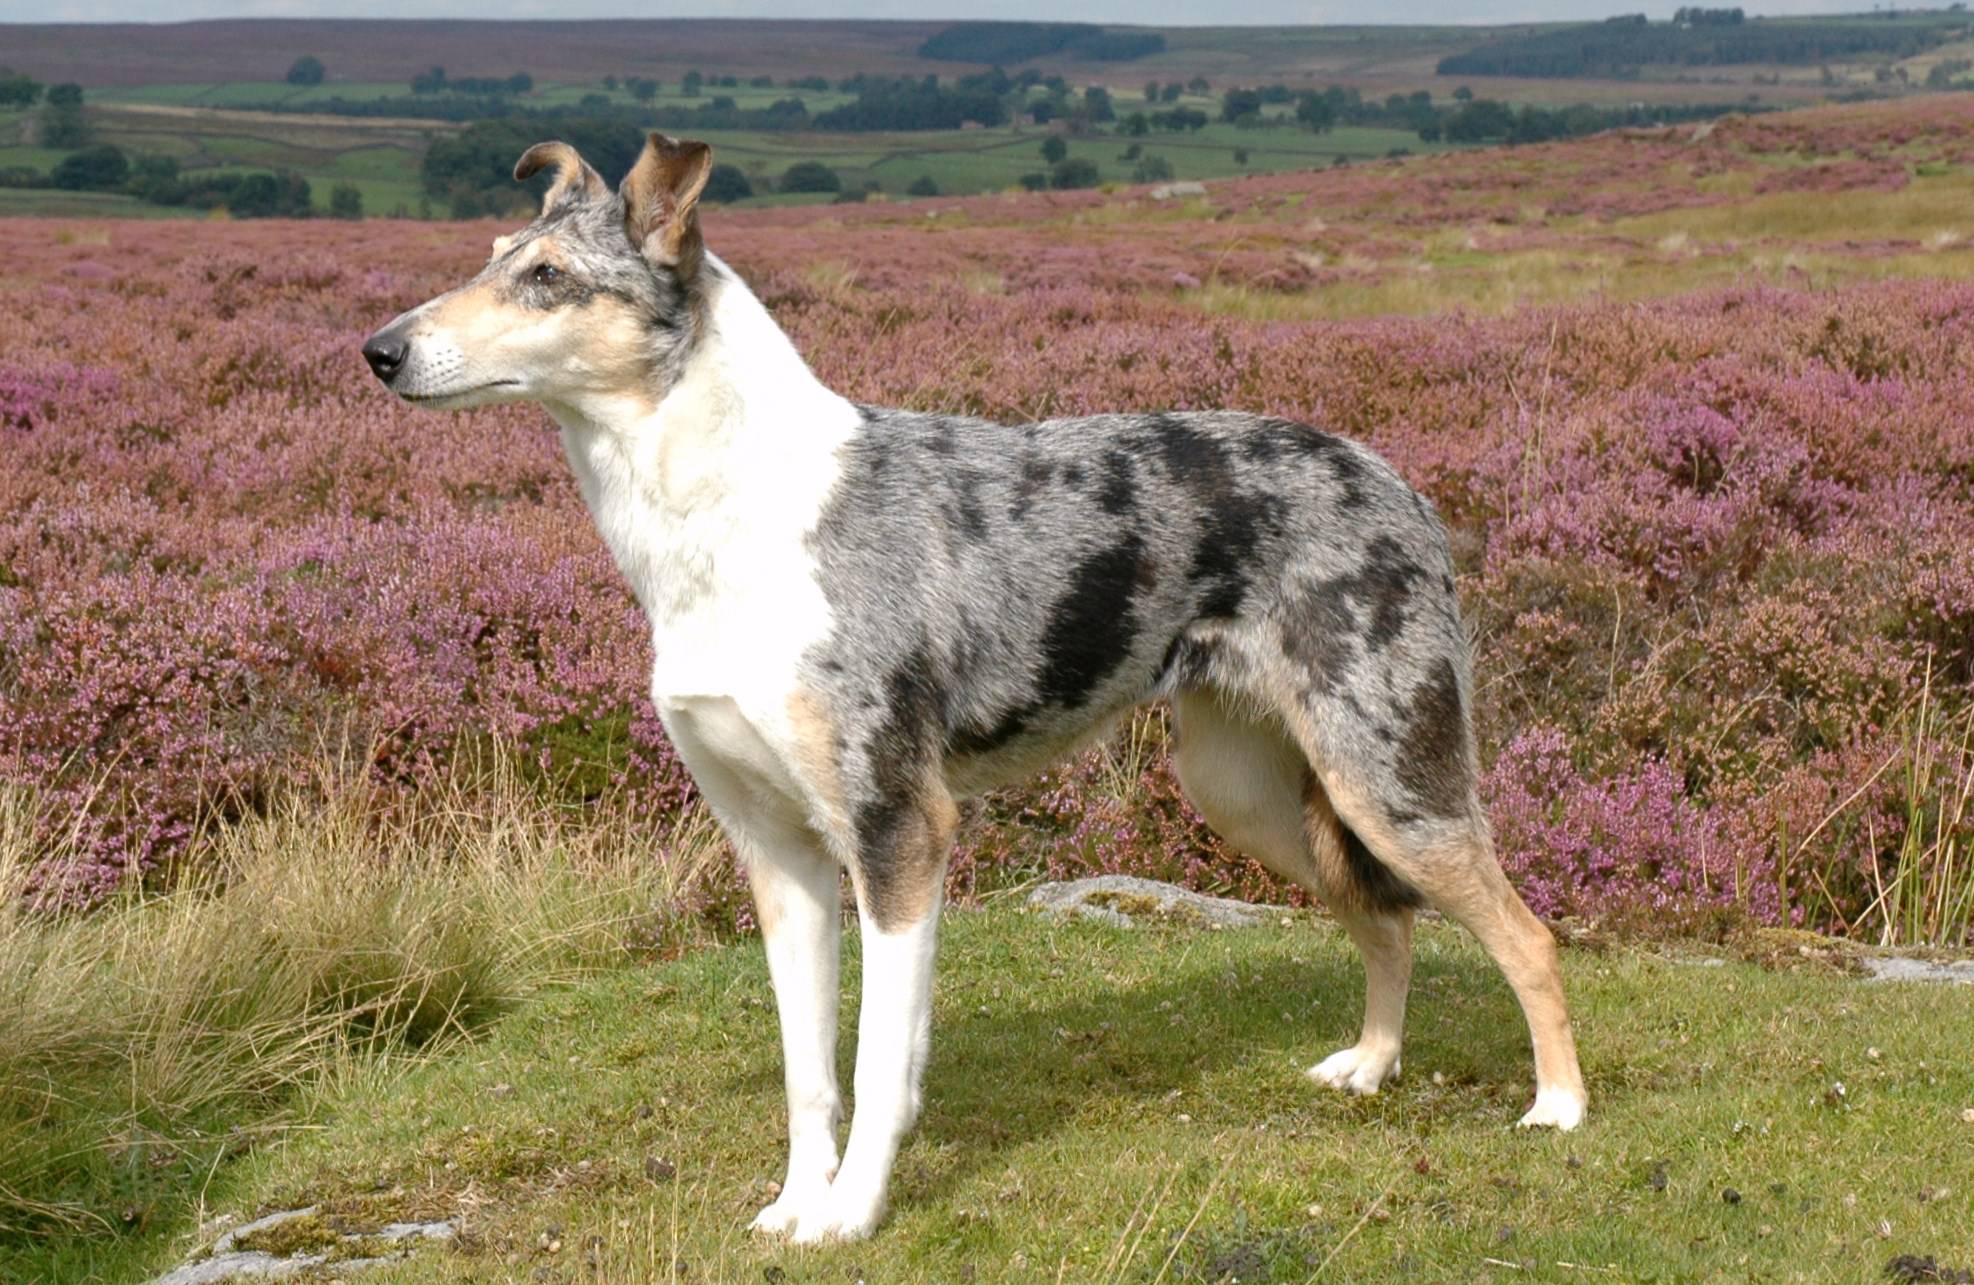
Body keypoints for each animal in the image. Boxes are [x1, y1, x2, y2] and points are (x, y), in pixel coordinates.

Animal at [359, 133, 1587, 1247]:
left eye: (547, 277)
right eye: (492, 256)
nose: (377, 351)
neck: (717, 521)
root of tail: (1394, 478)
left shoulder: (899, 829)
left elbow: (878, 1063)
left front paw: (851, 1215)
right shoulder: (780, 855)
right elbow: (809, 1071)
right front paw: (794, 1205)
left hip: (1390, 777)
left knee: (1524, 934)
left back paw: (1559, 1107)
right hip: (1250, 791)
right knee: (1385, 921)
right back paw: (1373, 1065)